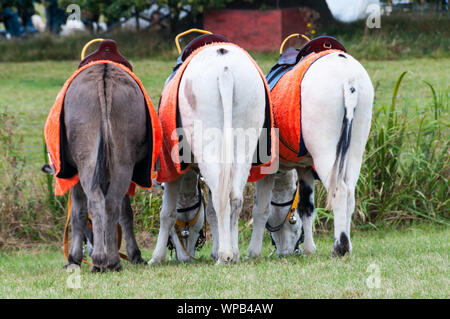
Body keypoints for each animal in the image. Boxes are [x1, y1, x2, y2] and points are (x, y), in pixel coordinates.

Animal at [151, 45, 268, 264]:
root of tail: (224, 69)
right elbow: (211, 213)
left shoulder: (173, 169)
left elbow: (167, 213)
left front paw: (157, 257)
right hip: (244, 143)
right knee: (234, 198)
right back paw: (232, 252)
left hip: (208, 146)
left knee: (221, 199)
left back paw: (225, 255)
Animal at [246, 51, 372, 258]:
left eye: (291, 221)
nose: (285, 252)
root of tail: (349, 80)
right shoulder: (305, 167)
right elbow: (306, 207)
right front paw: (309, 249)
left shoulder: (267, 170)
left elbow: (260, 210)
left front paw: (253, 251)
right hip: (355, 151)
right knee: (350, 194)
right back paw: (347, 244)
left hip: (326, 154)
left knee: (340, 191)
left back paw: (340, 246)